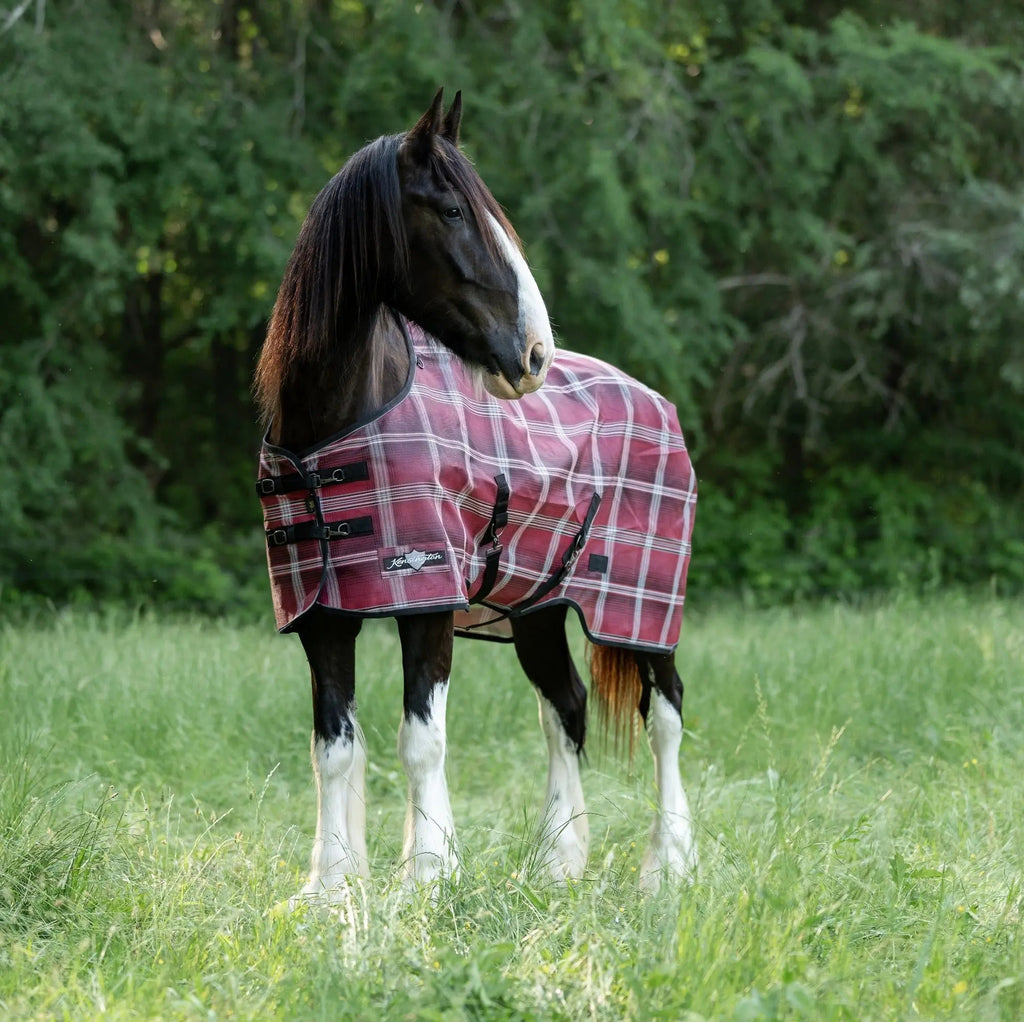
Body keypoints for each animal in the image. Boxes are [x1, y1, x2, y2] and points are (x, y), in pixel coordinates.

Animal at [253, 90, 697, 902]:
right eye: (454, 211)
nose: (535, 353)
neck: (337, 420)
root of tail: (656, 399)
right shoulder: (321, 615)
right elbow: (334, 749)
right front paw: (330, 890)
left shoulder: (427, 603)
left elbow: (421, 741)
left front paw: (427, 877)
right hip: (538, 610)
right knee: (566, 709)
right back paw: (557, 861)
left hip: (642, 614)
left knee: (666, 717)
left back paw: (669, 866)